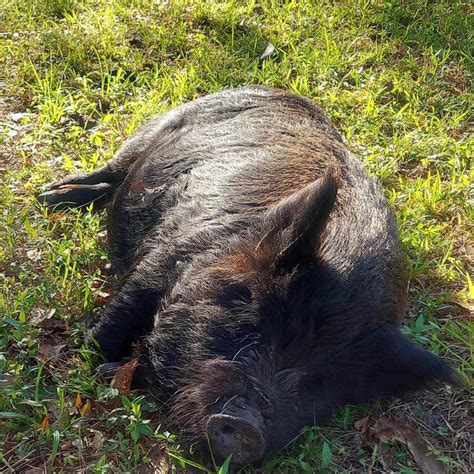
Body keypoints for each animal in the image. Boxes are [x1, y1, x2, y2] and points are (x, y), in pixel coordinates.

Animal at [39, 87, 456, 464]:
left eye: (323, 380)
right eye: (255, 313)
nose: (247, 428)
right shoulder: (164, 257)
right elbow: (107, 332)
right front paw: (94, 360)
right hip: (156, 126)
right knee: (114, 170)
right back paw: (50, 195)